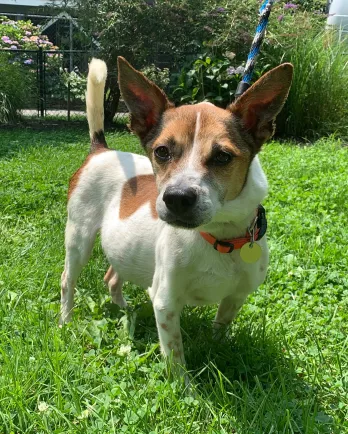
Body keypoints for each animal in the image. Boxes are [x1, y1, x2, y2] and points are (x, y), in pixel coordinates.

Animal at [60, 56, 294, 370]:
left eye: (223, 156)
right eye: (161, 151)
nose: (177, 198)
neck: (219, 236)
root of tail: (101, 150)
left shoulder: (235, 297)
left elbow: (220, 328)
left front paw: (216, 351)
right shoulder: (166, 302)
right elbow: (175, 356)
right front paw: (184, 383)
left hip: (126, 247)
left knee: (112, 276)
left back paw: (125, 310)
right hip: (79, 238)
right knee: (67, 280)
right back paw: (65, 321)